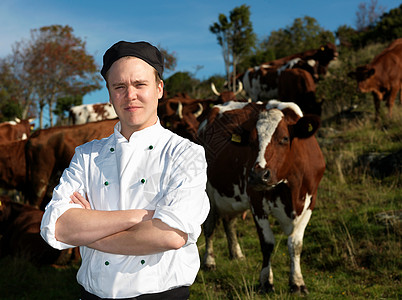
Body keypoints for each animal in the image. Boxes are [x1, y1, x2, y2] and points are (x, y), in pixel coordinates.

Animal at [199, 100, 326, 292]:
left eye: (284, 138)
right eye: (251, 142)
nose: (259, 175)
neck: (292, 190)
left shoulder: (310, 201)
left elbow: (296, 245)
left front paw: (297, 282)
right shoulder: (257, 202)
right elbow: (267, 244)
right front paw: (266, 282)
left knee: (229, 221)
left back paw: (237, 254)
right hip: (207, 191)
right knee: (209, 226)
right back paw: (209, 261)